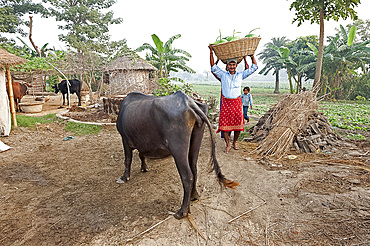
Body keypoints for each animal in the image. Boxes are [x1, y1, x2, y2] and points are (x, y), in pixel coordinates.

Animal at [115, 90, 238, 219]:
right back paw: (194, 196)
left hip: (178, 149)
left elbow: (128, 160)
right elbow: (141, 154)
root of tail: (189, 102)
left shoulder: (125, 139)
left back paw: (182, 211)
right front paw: (144, 168)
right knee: (194, 169)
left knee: (187, 176)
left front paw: (124, 177)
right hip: (195, 141)